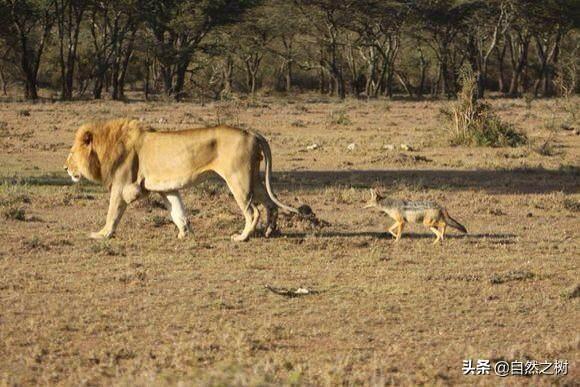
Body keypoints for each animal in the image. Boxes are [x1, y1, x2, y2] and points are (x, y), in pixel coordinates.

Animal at [63, 118, 300, 241]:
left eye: (72, 153)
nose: (65, 168)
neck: (107, 147)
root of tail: (252, 133)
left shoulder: (123, 186)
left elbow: (112, 213)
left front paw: (102, 234)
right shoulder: (165, 188)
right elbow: (177, 211)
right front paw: (185, 233)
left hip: (238, 179)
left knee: (253, 210)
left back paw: (242, 237)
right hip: (254, 179)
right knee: (270, 204)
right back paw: (270, 231)